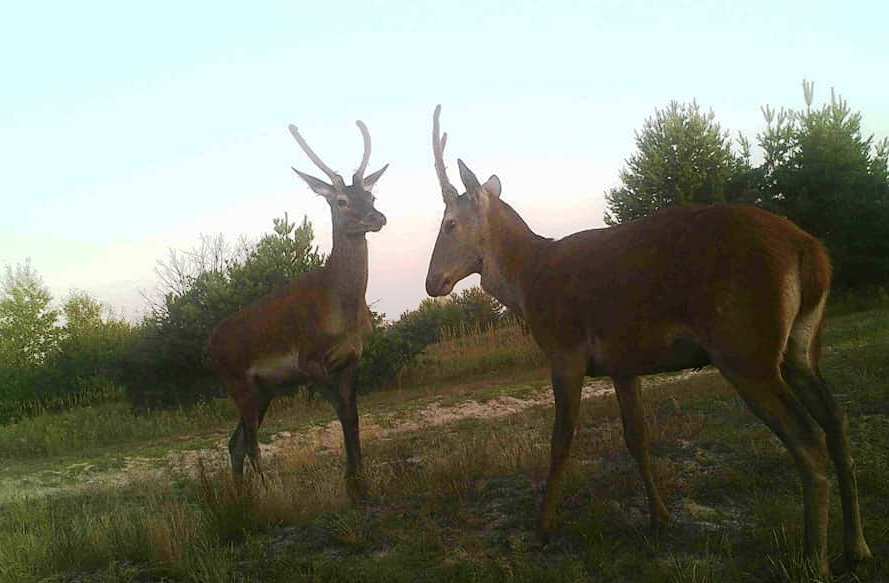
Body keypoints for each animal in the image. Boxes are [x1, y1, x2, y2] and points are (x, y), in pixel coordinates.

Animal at [210, 120, 390, 502]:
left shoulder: (352, 358)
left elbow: (352, 416)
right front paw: (351, 481)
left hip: (263, 390)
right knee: (250, 442)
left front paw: (359, 481)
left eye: (371, 196)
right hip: (237, 382)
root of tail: (209, 345)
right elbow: (341, 413)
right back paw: (267, 494)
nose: (377, 217)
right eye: (341, 200)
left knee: (235, 442)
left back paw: (242, 496)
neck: (341, 311)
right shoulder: (309, 361)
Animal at [424, 105, 868, 576]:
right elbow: (637, 436)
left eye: (449, 224)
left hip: (744, 344)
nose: (432, 282)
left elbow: (560, 440)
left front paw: (542, 528)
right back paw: (856, 547)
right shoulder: (622, 361)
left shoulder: (564, 350)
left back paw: (815, 561)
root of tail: (811, 252)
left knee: (808, 438)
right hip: (801, 344)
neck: (527, 283)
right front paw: (660, 517)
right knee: (836, 420)